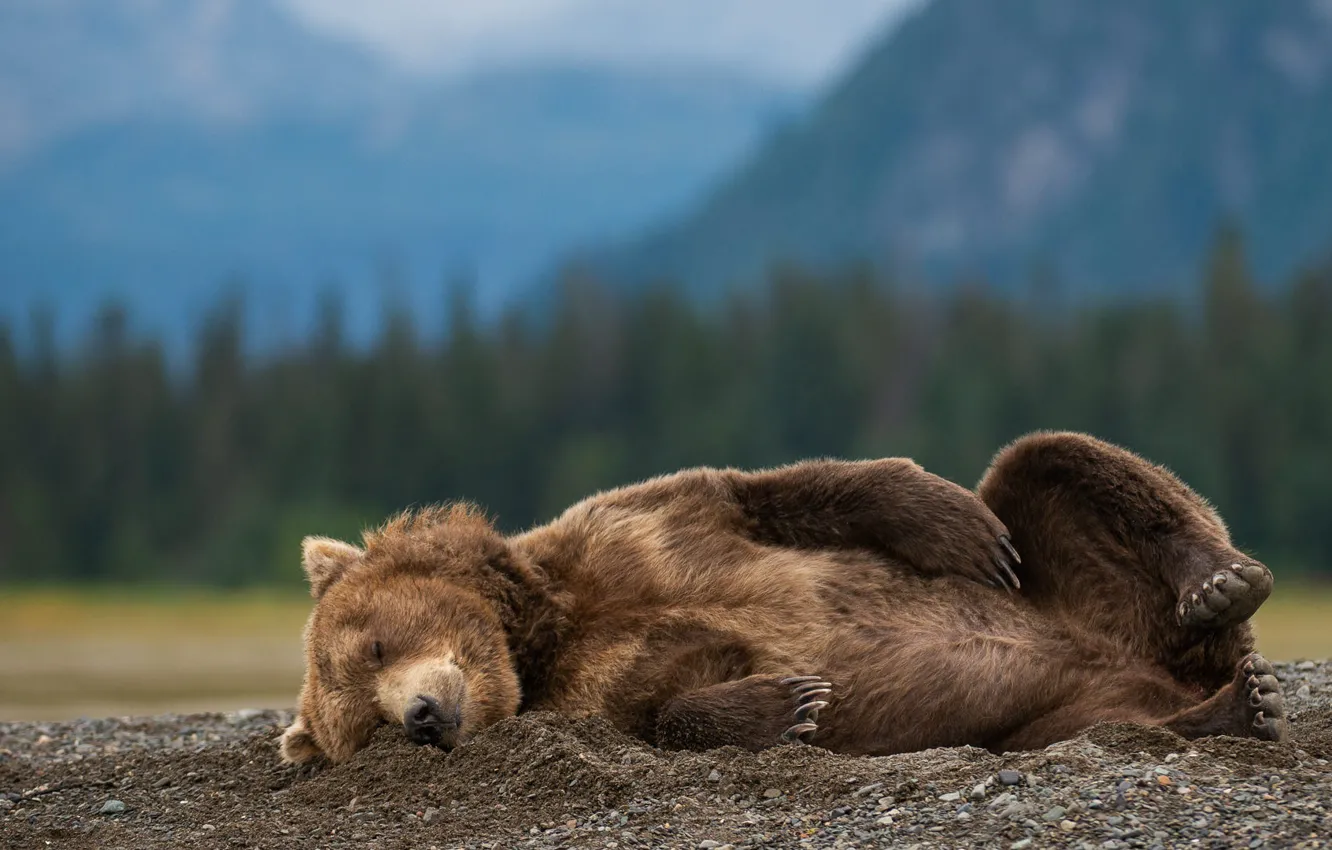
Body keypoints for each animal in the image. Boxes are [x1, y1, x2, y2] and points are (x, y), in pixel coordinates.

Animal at [279, 431, 1285, 764]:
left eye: (371, 645)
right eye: (361, 729)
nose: (419, 718)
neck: (546, 628)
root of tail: (1159, 666)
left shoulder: (644, 528)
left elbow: (782, 490)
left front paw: (952, 524)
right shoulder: (595, 689)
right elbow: (661, 711)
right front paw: (790, 702)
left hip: (1081, 584)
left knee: (1046, 465)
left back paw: (1219, 585)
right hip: (1053, 710)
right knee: (1094, 727)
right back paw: (1234, 708)